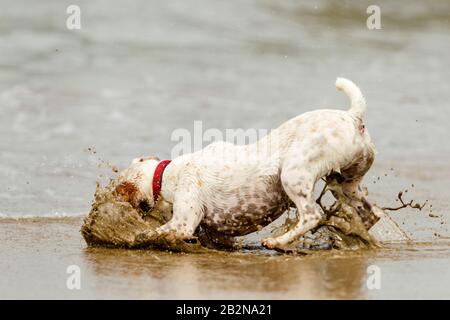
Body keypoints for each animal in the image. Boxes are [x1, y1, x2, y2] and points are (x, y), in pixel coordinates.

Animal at [113, 78, 380, 250]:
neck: (167, 174)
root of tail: (353, 117)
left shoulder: (183, 223)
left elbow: (152, 232)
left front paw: (133, 236)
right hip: (345, 184)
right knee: (370, 214)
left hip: (293, 175)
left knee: (312, 215)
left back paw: (278, 242)